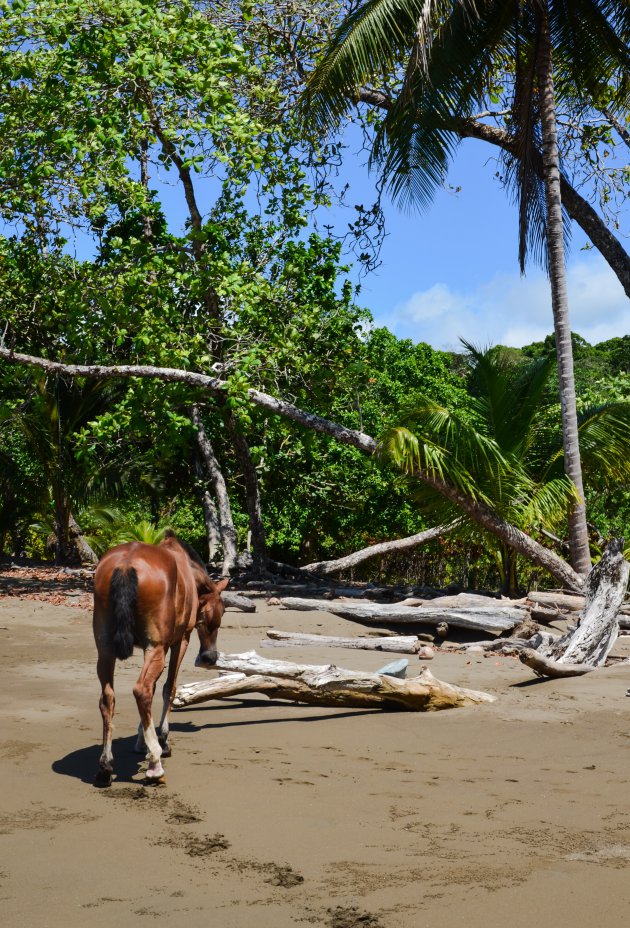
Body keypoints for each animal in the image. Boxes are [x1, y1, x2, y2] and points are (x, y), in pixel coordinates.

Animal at [94, 532, 227, 788]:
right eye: (221, 611)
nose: (210, 657)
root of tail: (125, 564)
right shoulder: (179, 641)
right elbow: (168, 688)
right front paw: (161, 740)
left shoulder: (154, 649)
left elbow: (156, 688)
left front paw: (141, 740)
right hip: (155, 647)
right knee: (142, 690)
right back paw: (155, 764)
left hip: (105, 650)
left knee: (108, 699)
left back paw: (105, 765)